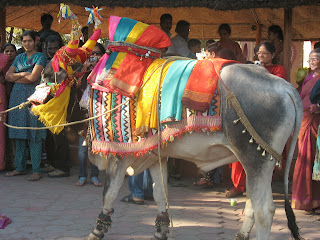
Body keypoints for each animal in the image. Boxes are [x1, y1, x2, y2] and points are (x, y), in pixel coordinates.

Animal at [38, 14, 302, 240]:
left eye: (54, 68)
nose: (42, 76)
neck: (95, 84)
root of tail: (286, 87)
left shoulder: (119, 154)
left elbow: (109, 193)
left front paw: (97, 230)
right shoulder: (155, 155)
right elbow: (159, 194)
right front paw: (160, 230)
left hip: (257, 159)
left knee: (265, 210)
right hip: (257, 161)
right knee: (252, 205)